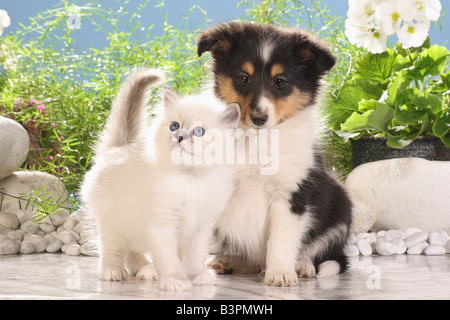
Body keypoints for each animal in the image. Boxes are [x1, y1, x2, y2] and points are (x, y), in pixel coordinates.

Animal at [82, 69, 241, 290]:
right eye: (174, 126)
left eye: (199, 132)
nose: (179, 137)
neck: (191, 178)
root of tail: (117, 148)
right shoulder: (162, 224)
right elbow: (169, 258)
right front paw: (176, 280)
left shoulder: (201, 226)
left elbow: (196, 256)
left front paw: (197, 276)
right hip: (112, 221)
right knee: (111, 247)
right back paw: (113, 271)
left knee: (132, 250)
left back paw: (143, 269)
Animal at [197, 23, 352, 288]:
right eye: (244, 78)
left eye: (280, 81)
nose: (259, 118)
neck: (255, 140)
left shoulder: (290, 195)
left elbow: (281, 240)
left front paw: (280, 275)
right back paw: (226, 261)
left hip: (340, 205)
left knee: (317, 252)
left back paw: (302, 267)